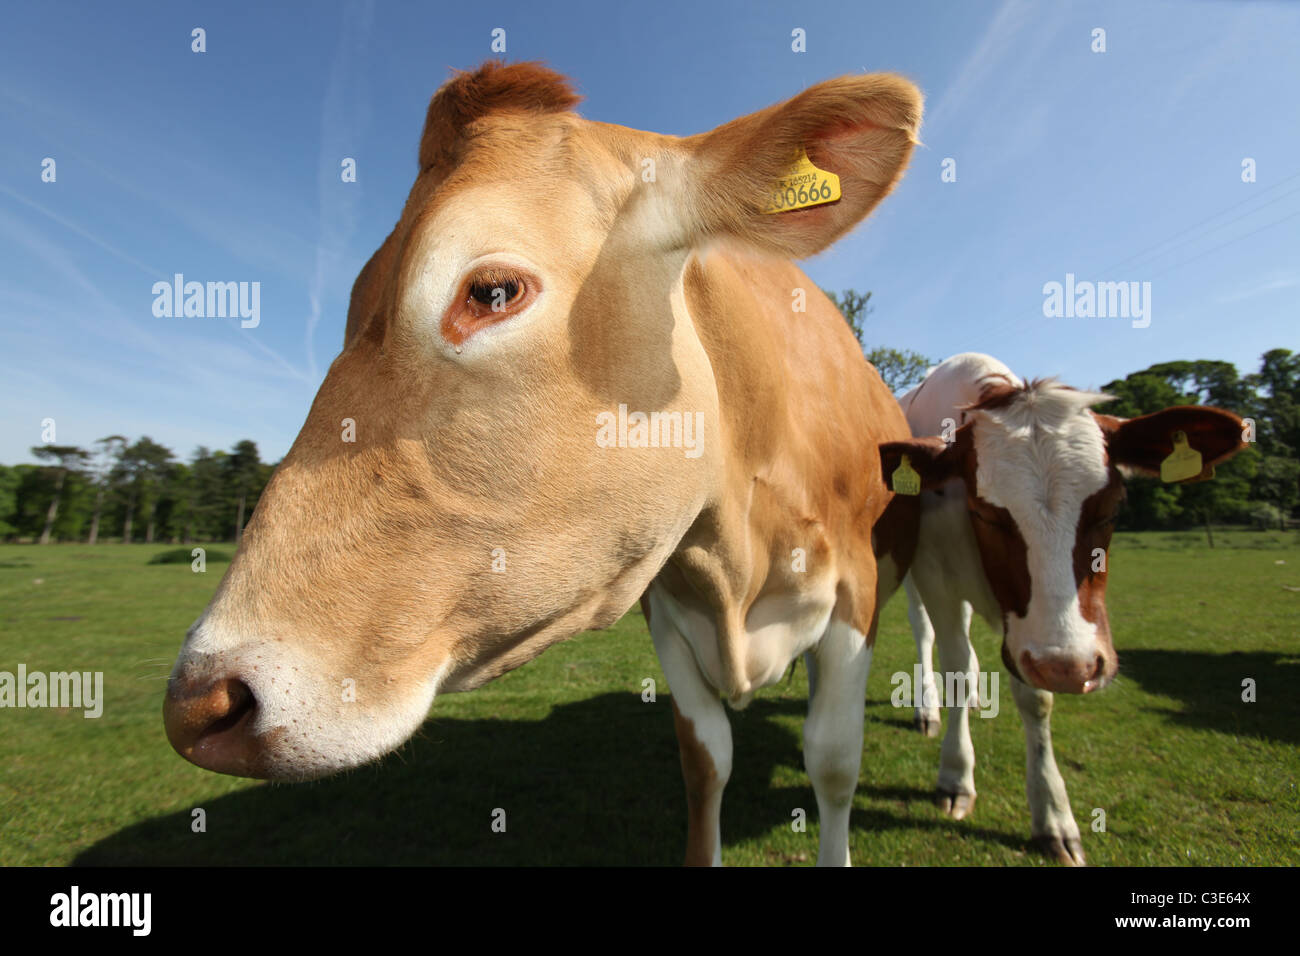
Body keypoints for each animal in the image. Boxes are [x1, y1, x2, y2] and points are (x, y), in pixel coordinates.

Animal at [165, 59, 925, 868]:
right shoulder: (666, 606)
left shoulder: (855, 592)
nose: (199, 702)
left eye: (492, 291)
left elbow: (833, 761)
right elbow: (705, 759)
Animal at [878, 353, 1242, 868]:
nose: (1069, 667)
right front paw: (956, 775)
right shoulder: (937, 576)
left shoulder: (1031, 634)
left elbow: (1035, 699)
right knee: (929, 638)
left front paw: (1053, 815)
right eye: (987, 512)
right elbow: (955, 668)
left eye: (1111, 509)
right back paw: (929, 708)